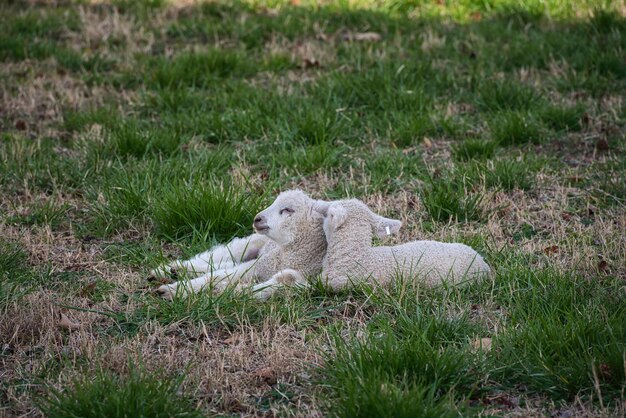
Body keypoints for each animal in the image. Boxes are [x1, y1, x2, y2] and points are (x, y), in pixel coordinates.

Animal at [153, 189, 334, 300]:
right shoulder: (257, 266)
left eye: (288, 210)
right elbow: (217, 276)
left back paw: (175, 271)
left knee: (223, 264)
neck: (287, 254)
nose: (257, 219)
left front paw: (224, 291)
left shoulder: (303, 279)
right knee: (217, 257)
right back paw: (167, 269)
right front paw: (174, 290)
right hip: (249, 243)